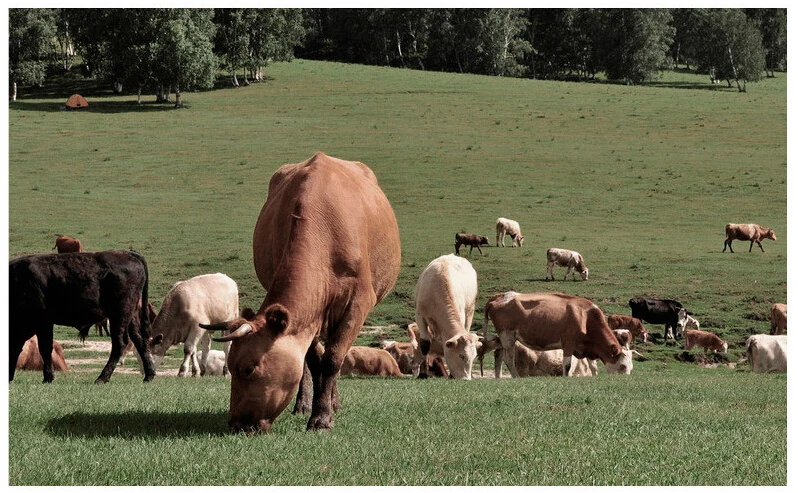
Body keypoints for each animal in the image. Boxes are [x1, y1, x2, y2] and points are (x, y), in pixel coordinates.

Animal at [8, 250, 157, 384]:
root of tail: (128, 253)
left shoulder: (43, 322)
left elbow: (44, 349)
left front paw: (48, 378)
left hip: (120, 314)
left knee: (120, 343)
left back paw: (102, 378)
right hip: (130, 317)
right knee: (139, 340)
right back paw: (149, 376)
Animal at [200, 152, 400, 432]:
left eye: (249, 369)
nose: (236, 424)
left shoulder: (357, 303)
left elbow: (333, 359)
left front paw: (323, 417)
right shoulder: (310, 315)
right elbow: (315, 361)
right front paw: (316, 410)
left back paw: (333, 402)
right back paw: (305, 403)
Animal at [484, 290, 636, 374]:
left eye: (631, 367)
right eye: (622, 366)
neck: (586, 317)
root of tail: (500, 296)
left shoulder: (587, 347)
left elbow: (593, 367)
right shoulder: (568, 343)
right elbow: (567, 365)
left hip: (504, 338)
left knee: (498, 356)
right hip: (507, 336)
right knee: (508, 359)